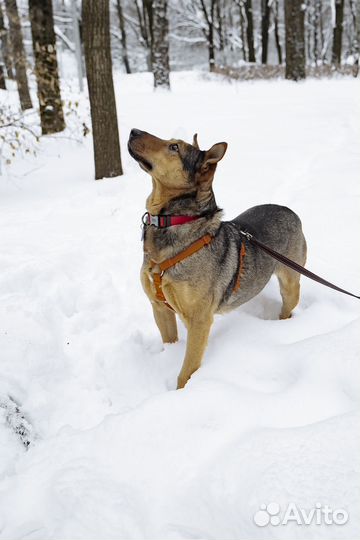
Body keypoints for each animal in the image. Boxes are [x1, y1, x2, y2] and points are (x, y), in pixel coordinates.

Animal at [127, 129, 306, 390]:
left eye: (174, 148)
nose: (133, 131)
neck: (174, 222)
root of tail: (289, 210)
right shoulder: (159, 307)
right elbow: (169, 342)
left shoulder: (199, 320)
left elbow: (187, 371)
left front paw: (180, 393)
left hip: (290, 283)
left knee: (288, 306)